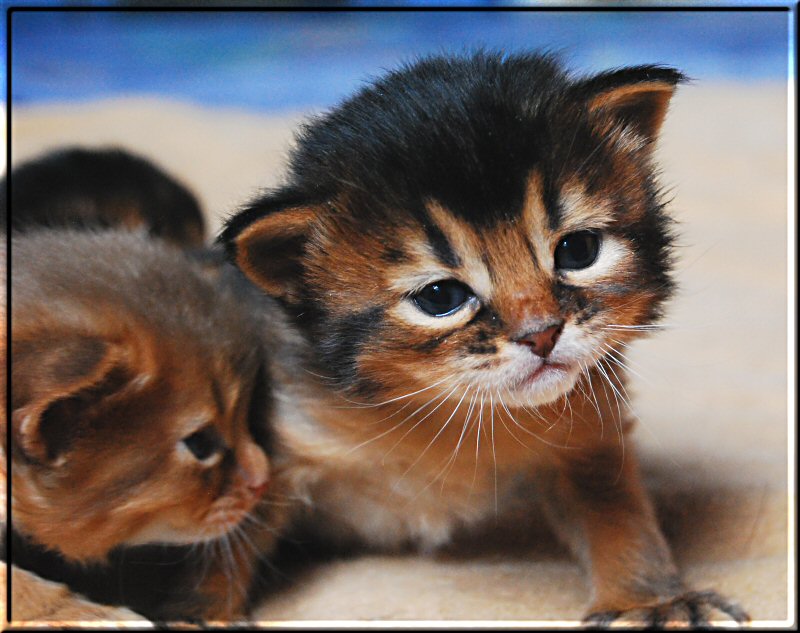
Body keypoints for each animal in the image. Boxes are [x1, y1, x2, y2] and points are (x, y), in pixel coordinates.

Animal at [223, 51, 752, 624]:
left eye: (579, 250)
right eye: (440, 297)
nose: (541, 335)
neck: (453, 416)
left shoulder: (588, 435)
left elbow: (618, 513)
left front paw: (651, 599)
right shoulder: (279, 444)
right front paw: (202, 612)